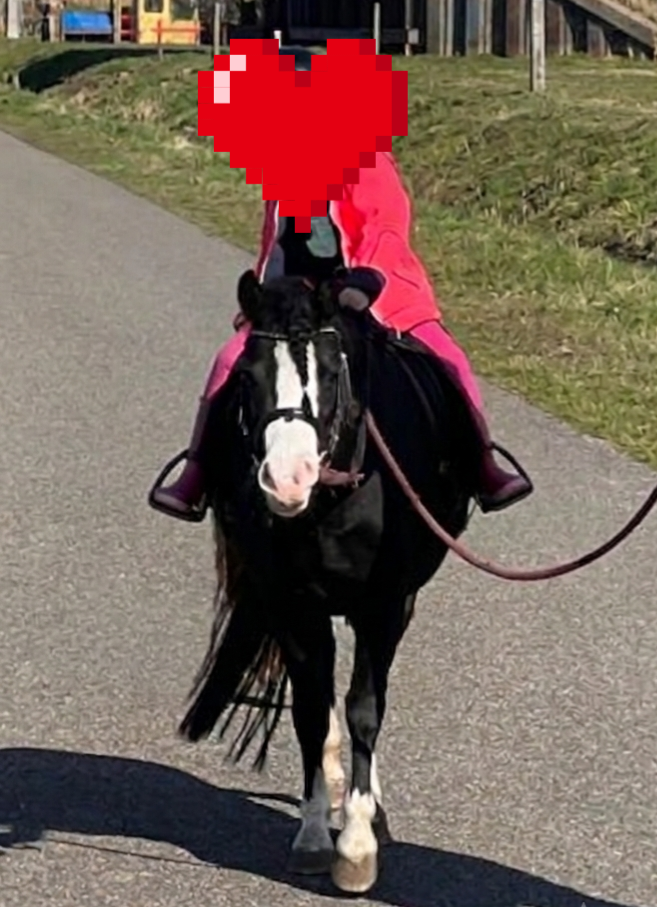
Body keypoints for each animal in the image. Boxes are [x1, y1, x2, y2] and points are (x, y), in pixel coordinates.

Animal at [177, 269, 482, 894]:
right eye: (247, 376)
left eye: (331, 372)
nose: (287, 480)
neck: (334, 497)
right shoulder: (293, 604)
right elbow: (314, 712)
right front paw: (318, 834)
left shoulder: (385, 605)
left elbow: (366, 706)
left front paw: (357, 844)